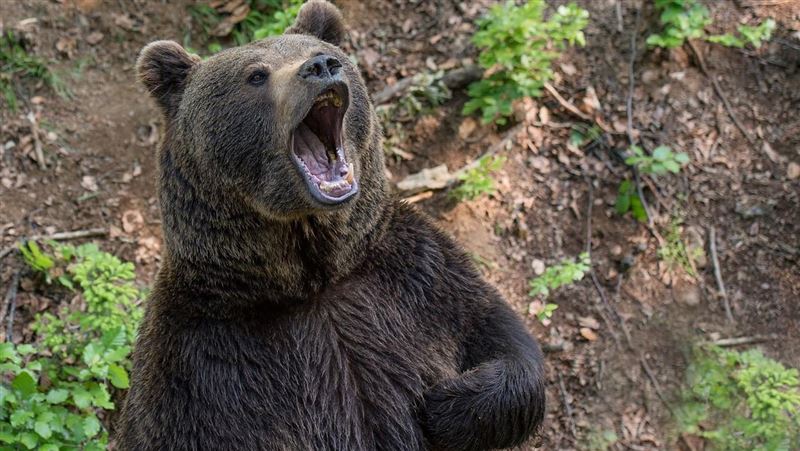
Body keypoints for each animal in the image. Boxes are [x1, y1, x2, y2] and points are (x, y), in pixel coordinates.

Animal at [117, 1, 546, 450]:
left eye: (319, 51)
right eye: (256, 75)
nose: (322, 66)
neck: (313, 278)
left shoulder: (420, 279)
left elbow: (501, 337)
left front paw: (446, 405)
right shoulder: (200, 361)